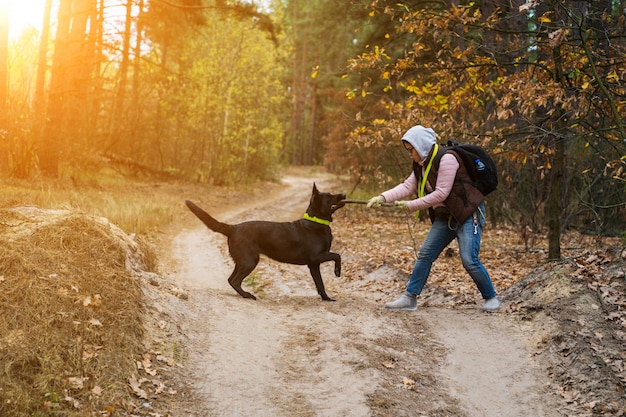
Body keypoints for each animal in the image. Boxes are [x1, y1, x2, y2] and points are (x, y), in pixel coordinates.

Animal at [184, 184, 346, 300]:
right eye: (329, 196)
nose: (344, 194)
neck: (316, 221)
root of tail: (233, 228)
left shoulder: (313, 264)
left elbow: (320, 283)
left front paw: (326, 298)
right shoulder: (317, 257)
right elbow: (337, 255)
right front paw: (337, 271)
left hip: (242, 261)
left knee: (231, 279)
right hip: (250, 261)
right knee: (235, 280)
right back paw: (247, 295)